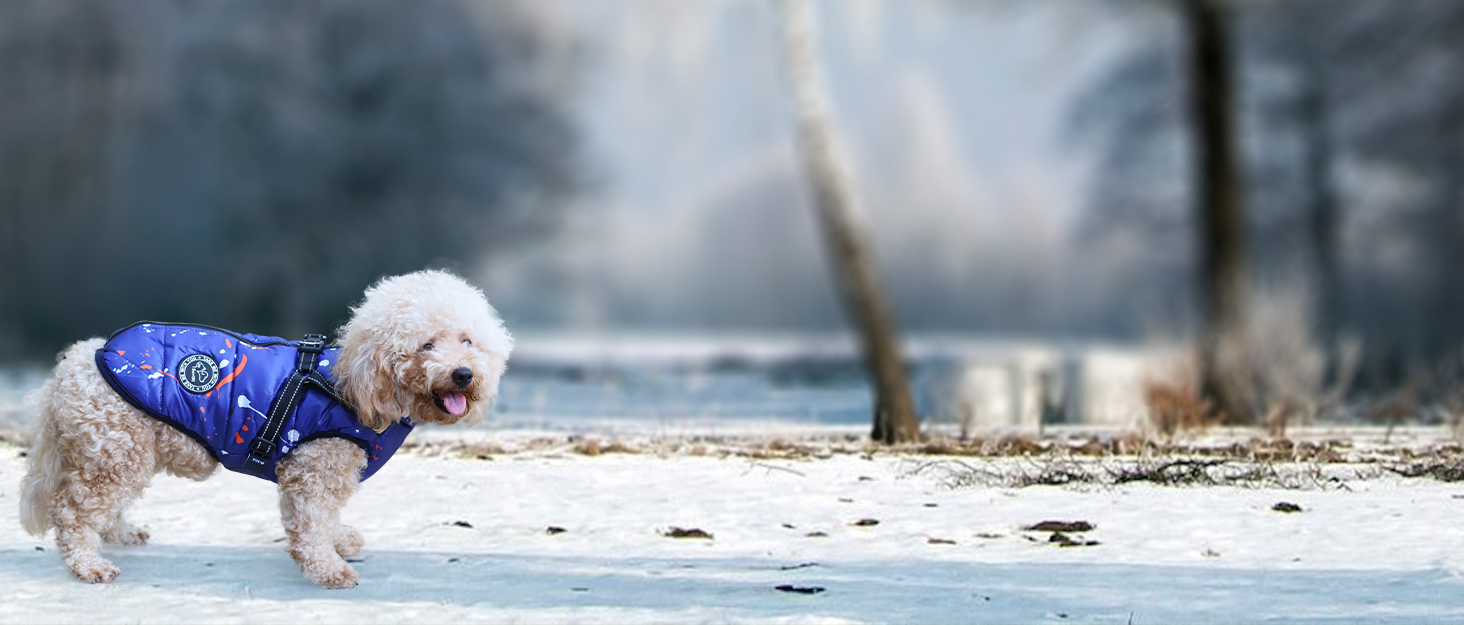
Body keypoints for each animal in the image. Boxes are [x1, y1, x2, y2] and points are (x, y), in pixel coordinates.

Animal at [14, 272, 509, 588]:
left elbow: (319, 521)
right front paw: (328, 568)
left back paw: (118, 533)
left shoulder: (311, 472)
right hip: (116, 456)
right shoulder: (315, 471)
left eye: (467, 340)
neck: (352, 386)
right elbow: (312, 525)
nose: (464, 374)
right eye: (426, 345)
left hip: (122, 452)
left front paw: (338, 541)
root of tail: (79, 361)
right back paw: (87, 565)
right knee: (72, 513)